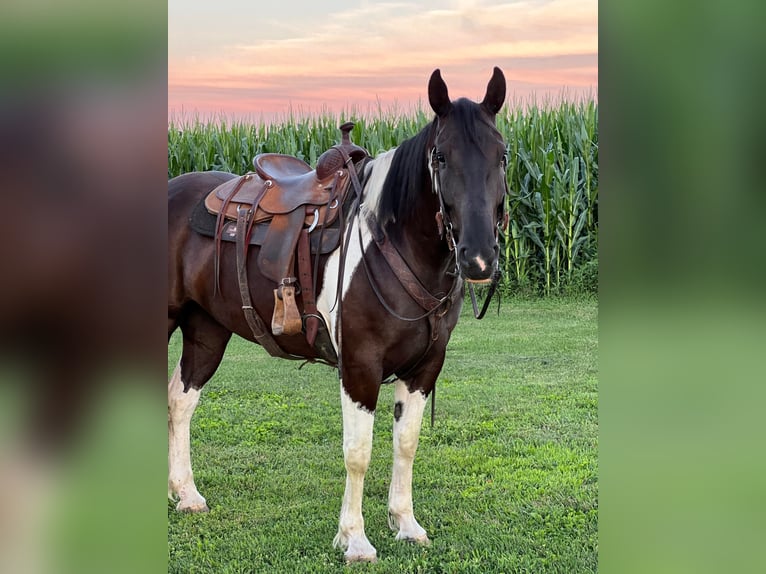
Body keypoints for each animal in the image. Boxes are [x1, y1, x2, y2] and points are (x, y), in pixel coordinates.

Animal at [171, 66, 512, 564]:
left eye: (502, 154)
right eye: (441, 157)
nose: (479, 257)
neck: (392, 241)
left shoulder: (425, 368)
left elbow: (406, 443)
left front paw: (405, 524)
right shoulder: (359, 365)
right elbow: (358, 452)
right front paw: (354, 539)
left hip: (206, 331)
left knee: (181, 402)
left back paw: (186, 495)